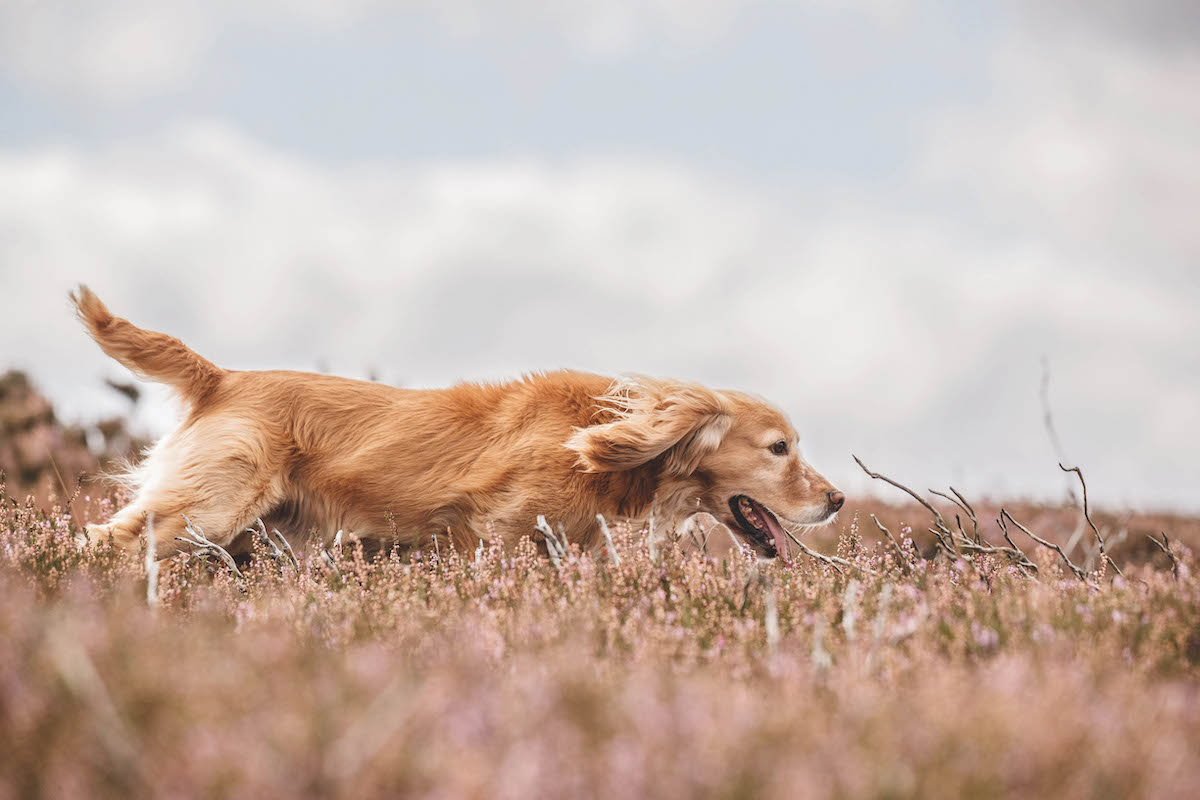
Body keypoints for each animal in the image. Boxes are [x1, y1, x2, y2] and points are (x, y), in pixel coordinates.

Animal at [72, 284, 844, 561]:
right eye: (780, 448)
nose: (838, 499)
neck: (595, 446)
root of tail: (223, 377)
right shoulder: (500, 535)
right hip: (203, 511)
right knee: (96, 544)